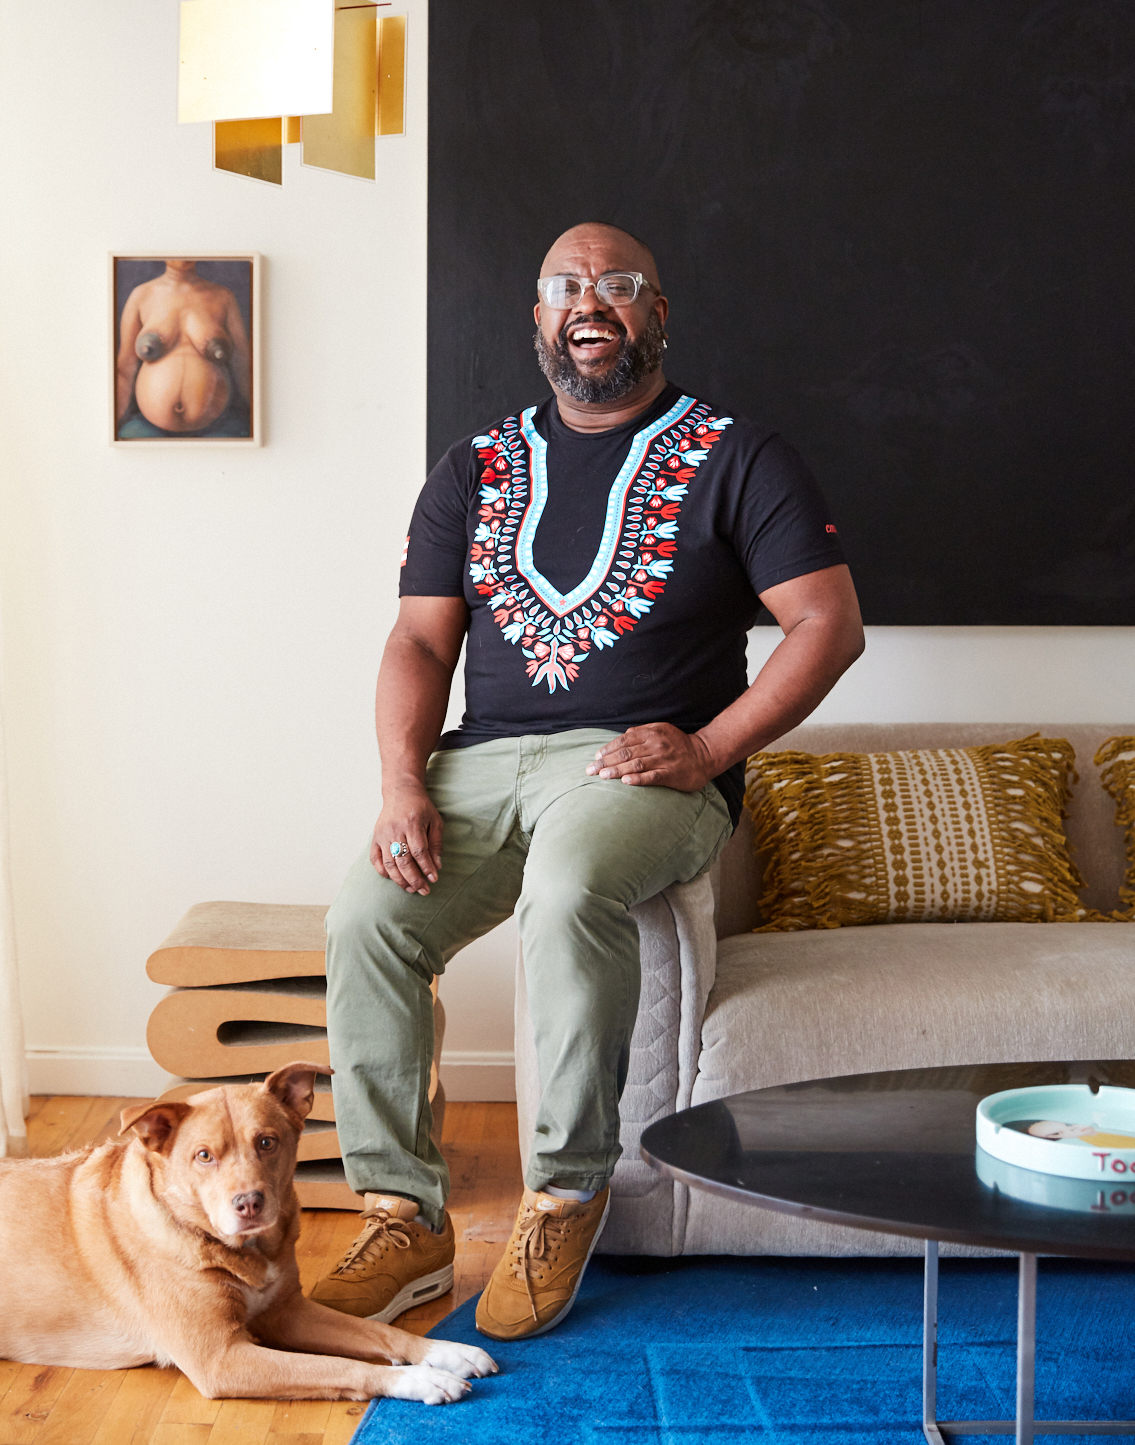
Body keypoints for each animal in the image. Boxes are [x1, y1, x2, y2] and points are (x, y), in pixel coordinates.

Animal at [0, 1063, 497, 1398]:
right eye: (203, 1156)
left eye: (267, 1142)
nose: (249, 1203)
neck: (243, 1252)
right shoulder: (221, 1359)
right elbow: (336, 1366)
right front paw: (418, 1379)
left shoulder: (288, 1312)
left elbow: (379, 1333)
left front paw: (444, 1352)